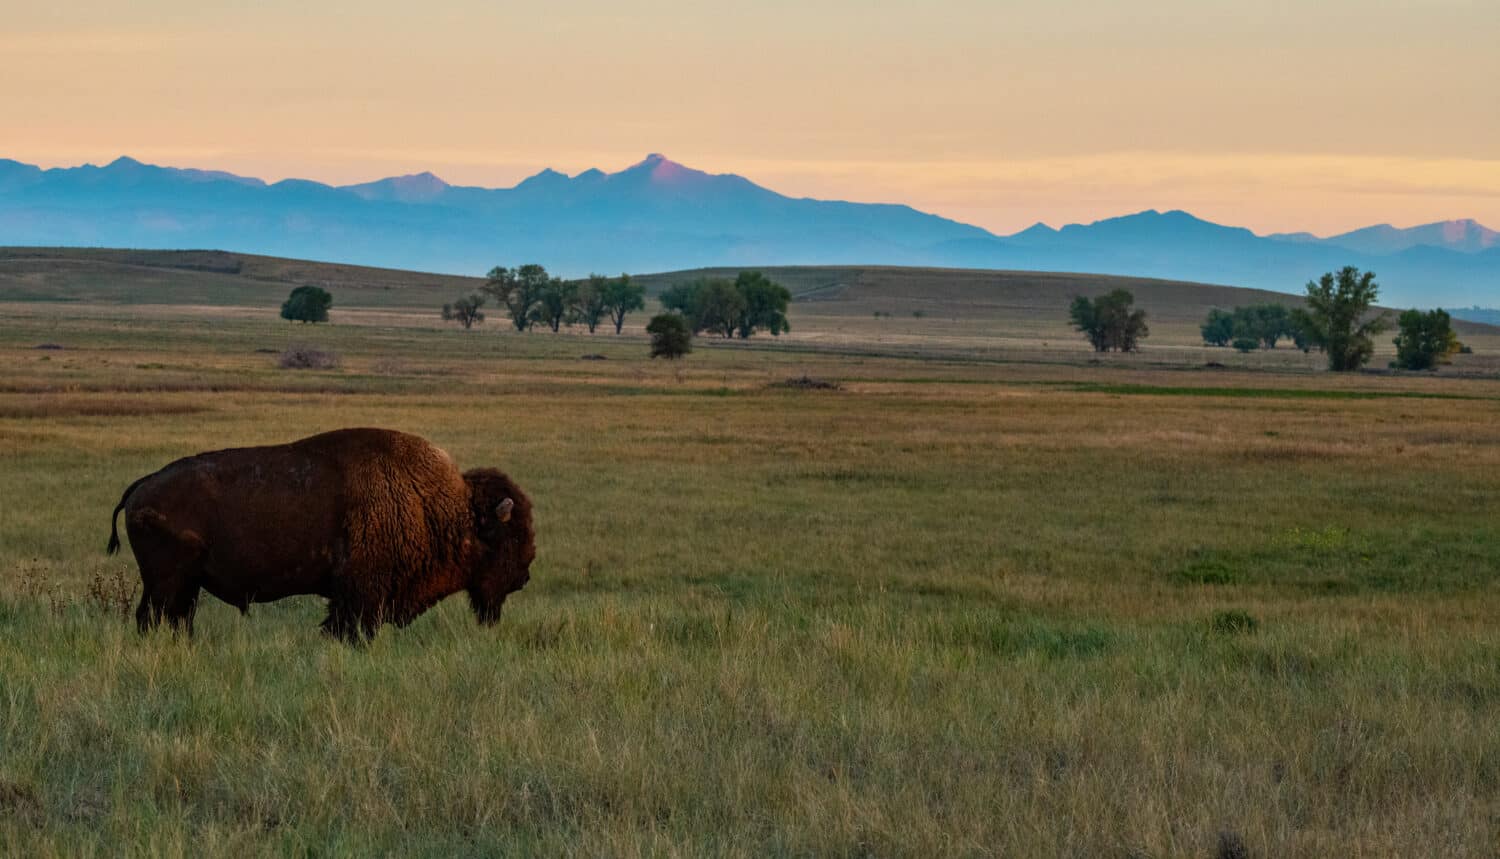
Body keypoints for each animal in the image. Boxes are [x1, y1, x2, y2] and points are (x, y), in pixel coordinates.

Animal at [101, 425, 534, 638]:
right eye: (510, 537)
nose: (525, 574)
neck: (442, 506)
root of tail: (142, 486)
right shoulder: (360, 595)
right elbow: (348, 628)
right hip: (169, 582)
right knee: (155, 618)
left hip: (181, 585)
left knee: (171, 619)